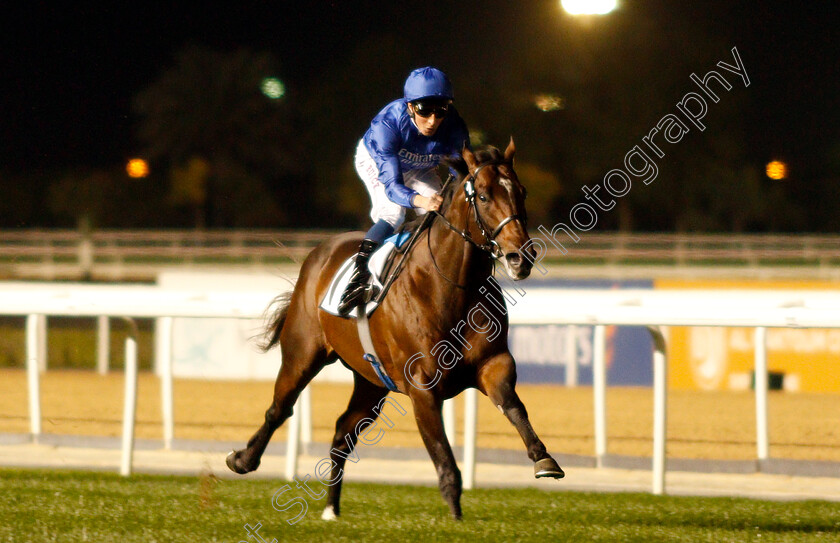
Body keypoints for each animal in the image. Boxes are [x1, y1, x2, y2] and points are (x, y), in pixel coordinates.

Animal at [226, 141, 560, 524]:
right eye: (485, 196)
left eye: (521, 191)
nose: (521, 257)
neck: (451, 287)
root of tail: (318, 254)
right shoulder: (422, 385)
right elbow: (442, 454)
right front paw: (456, 516)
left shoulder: (494, 363)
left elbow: (514, 406)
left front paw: (544, 459)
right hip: (302, 352)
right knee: (279, 409)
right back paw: (242, 460)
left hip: (371, 380)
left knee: (342, 431)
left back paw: (331, 508)